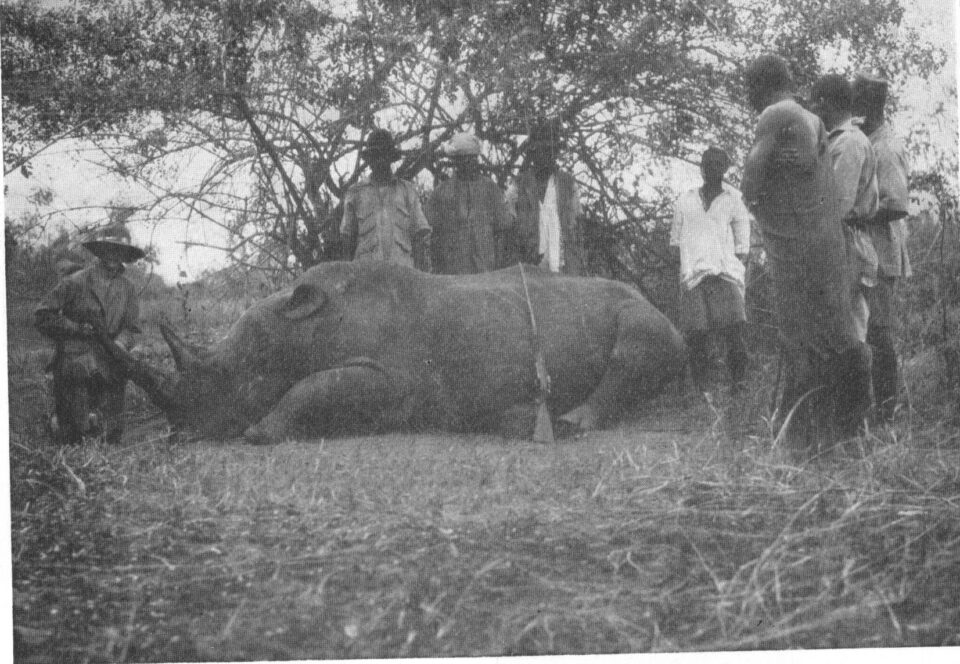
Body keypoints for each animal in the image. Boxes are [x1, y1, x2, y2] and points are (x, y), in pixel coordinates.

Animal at [110, 262, 686, 444]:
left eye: (226, 378)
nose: (179, 434)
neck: (305, 330)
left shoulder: (395, 379)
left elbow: (316, 386)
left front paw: (257, 432)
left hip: (644, 313)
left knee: (638, 344)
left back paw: (569, 422)